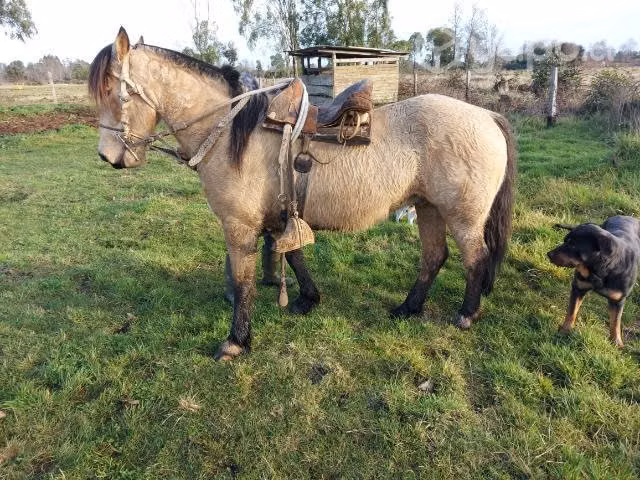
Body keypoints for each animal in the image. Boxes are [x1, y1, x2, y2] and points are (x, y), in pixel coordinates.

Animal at [89, 28, 516, 361]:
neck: (230, 131)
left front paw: (236, 341)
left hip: (462, 215)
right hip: (428, 207)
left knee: (475, 259)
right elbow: (292, 256)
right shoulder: (280, 215)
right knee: (434, 257)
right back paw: (408, 308)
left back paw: (466, 313)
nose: (108, 157)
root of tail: (485, 115)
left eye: (113, 91)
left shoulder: (239, 227)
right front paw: (307, 299)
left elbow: (243, 281)